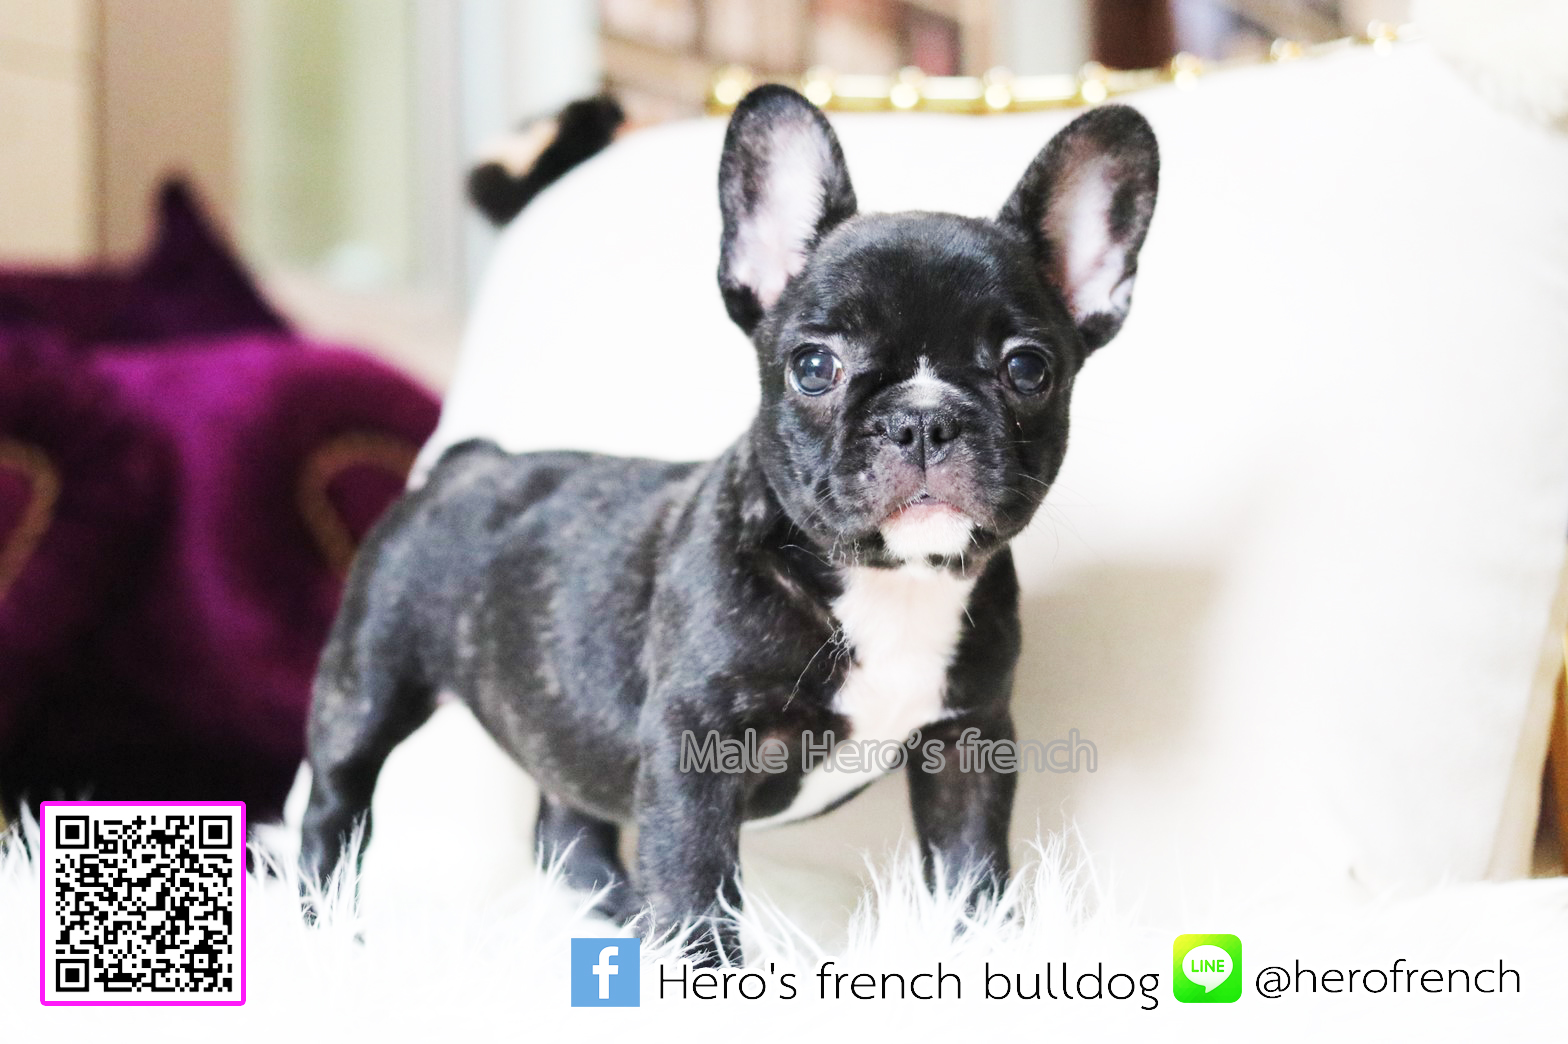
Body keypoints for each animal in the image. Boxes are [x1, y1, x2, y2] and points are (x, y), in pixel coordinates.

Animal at [301, 85, 1158, 964]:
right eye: (814, 367)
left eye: (1029, 368)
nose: (924, 419)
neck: (887, 581)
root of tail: (470, 460)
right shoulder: (696, 756)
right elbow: (696, 886)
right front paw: (699, 971)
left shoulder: (968, 745)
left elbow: (971, 874)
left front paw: (988, 955)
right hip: (366, 685)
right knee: (335, 806)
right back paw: (332, 930)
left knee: (568, 827)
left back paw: (614, 917)